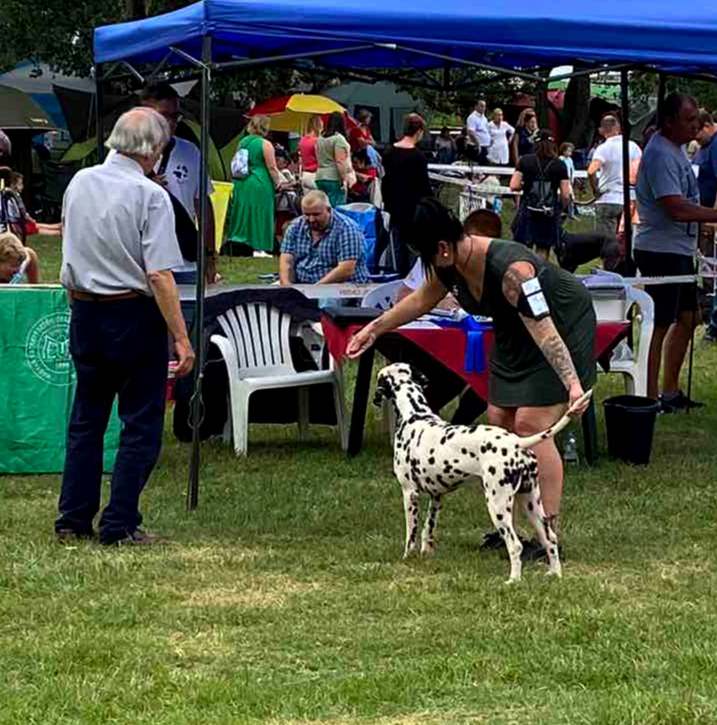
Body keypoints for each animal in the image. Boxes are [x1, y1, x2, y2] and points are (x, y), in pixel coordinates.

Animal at [373, 363, 592, 583]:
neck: (415, 416)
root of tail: (517, 442)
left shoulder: (409, 493)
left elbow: (411, 534)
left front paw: (407, 558)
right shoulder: (437, 496)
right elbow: (428, 529)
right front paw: (426, 554)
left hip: (498, 506)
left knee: (515, 545)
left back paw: (513, 580)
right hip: (531, 504)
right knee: (550, 539)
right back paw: (555, 573)